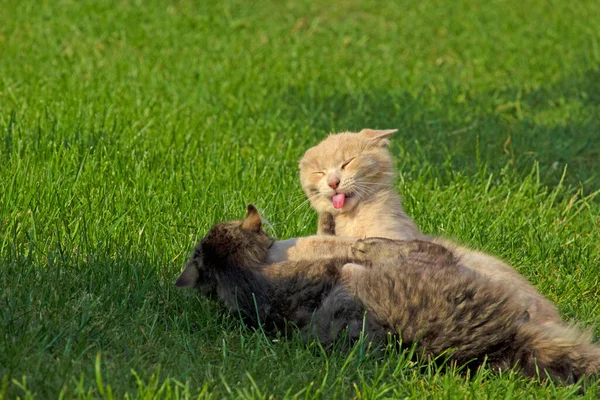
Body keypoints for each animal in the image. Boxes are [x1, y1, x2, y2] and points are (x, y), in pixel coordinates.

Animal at [298, 129, 564, 324]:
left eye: (347, 162)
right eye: (320, 172)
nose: (333, 182)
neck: (353, 217)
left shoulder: (396, 236)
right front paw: (326, 223)